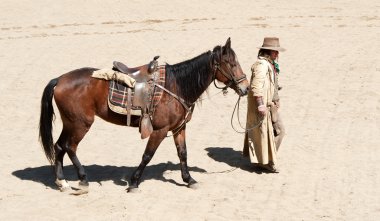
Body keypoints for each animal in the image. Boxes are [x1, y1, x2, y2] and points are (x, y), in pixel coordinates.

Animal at [39, 37, 249, 192]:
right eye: (231, 63)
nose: (245, 88)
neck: (176, 86)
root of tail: (60, 80)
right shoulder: (160, 130)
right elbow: (148, 155)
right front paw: (133, 182)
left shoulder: (179, 127)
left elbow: (183, 153)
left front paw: (189, 179)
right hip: (80, 124)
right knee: (70, 147)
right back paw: (82, 180)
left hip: (70, 123)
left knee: (59, 146)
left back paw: (62, 182)